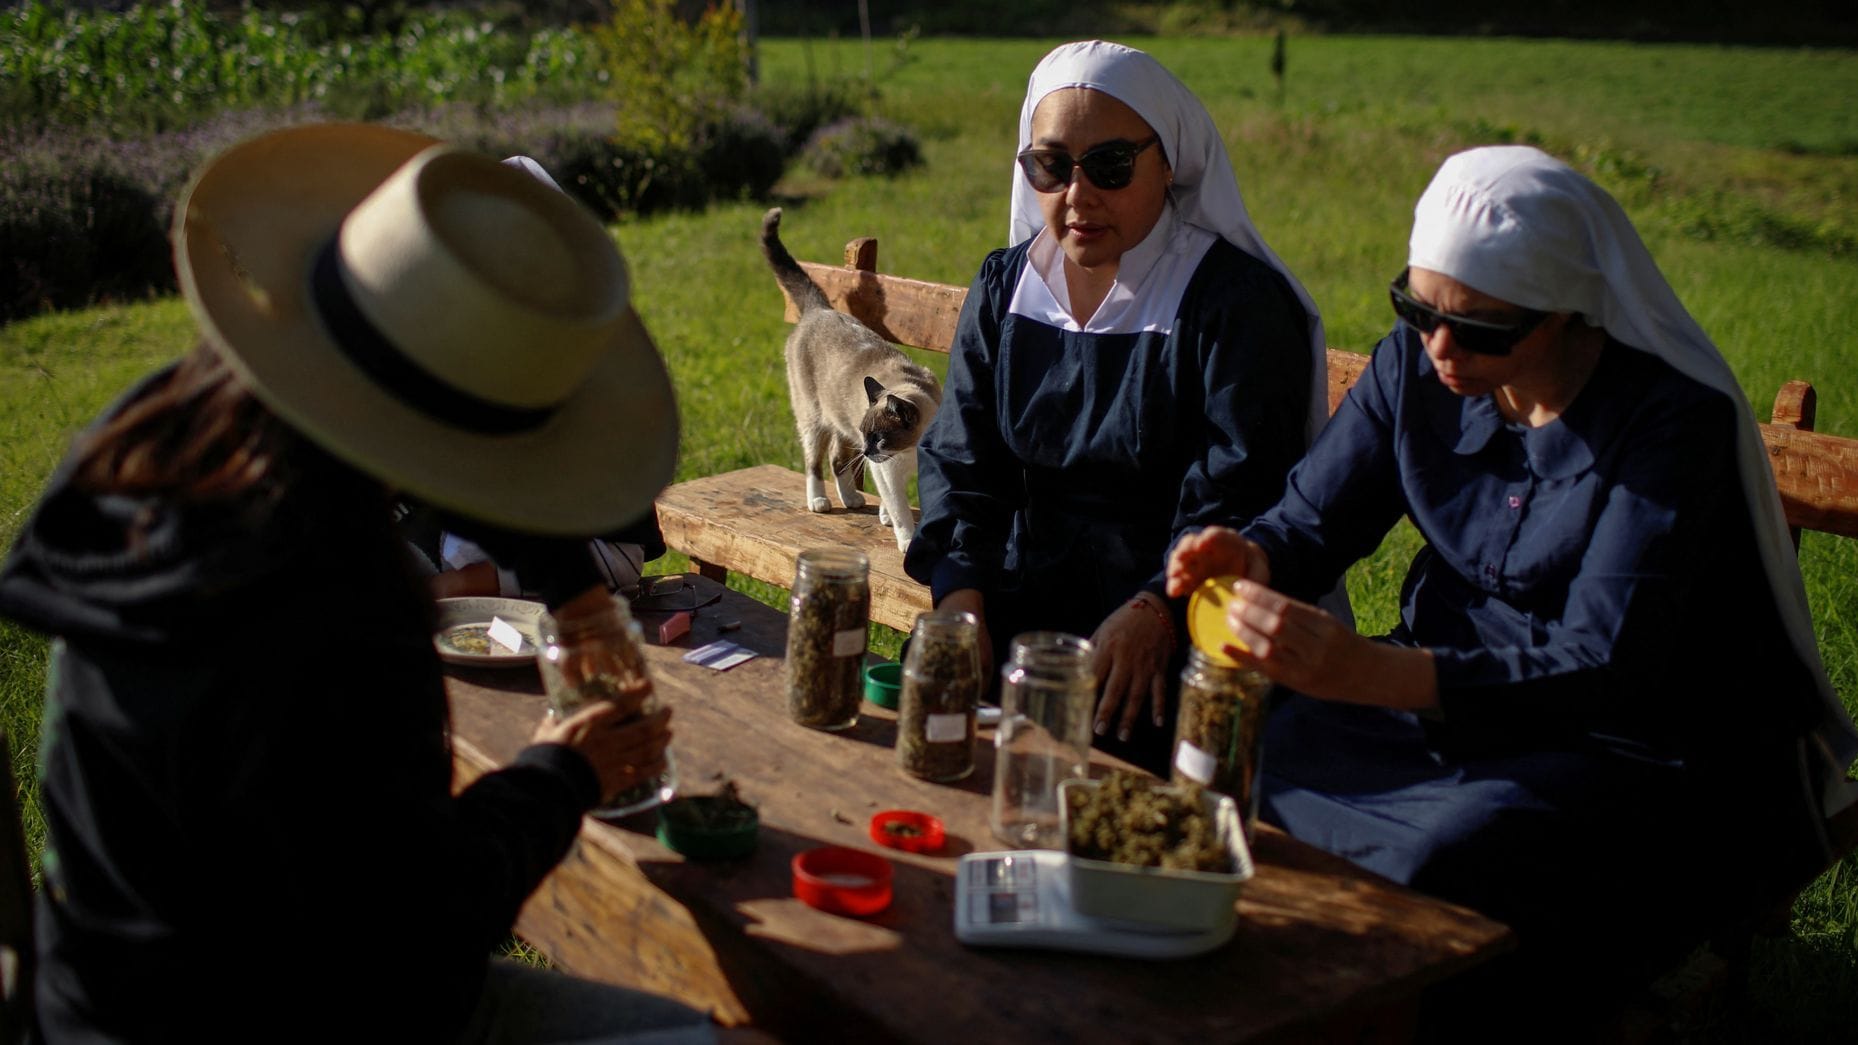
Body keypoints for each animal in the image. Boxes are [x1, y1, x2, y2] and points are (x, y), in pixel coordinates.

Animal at [758, 207, 943, 550]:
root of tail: (819, 309)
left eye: (877, 437)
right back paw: (819, 502)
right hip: (814, 419)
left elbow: (892, 502)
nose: (867, 451)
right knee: (815, 462)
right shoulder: (886, 470)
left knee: (836, 460)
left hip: (840, 423)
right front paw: (906, 540)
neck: (910, 451)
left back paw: (852, 499)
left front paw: (885, 517)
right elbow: (899, 508)